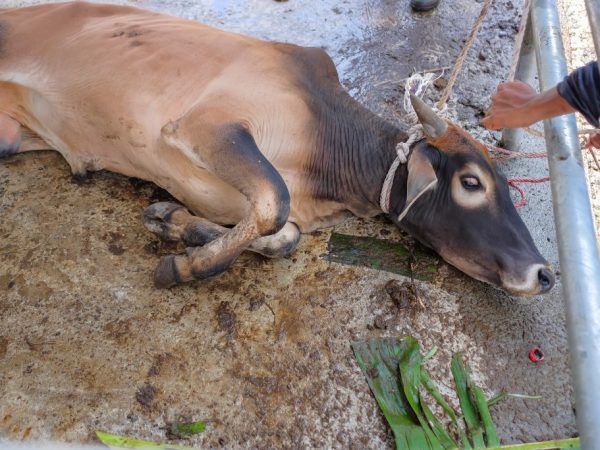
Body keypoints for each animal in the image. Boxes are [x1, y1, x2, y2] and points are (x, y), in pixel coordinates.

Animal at [0, 2, 556, 296]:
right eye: (471, 182)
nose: (545, 273)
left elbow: (282, 235)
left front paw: (173, 222)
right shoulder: (206, 125)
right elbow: (274, 205)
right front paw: (184, 265)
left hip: (13, 137)